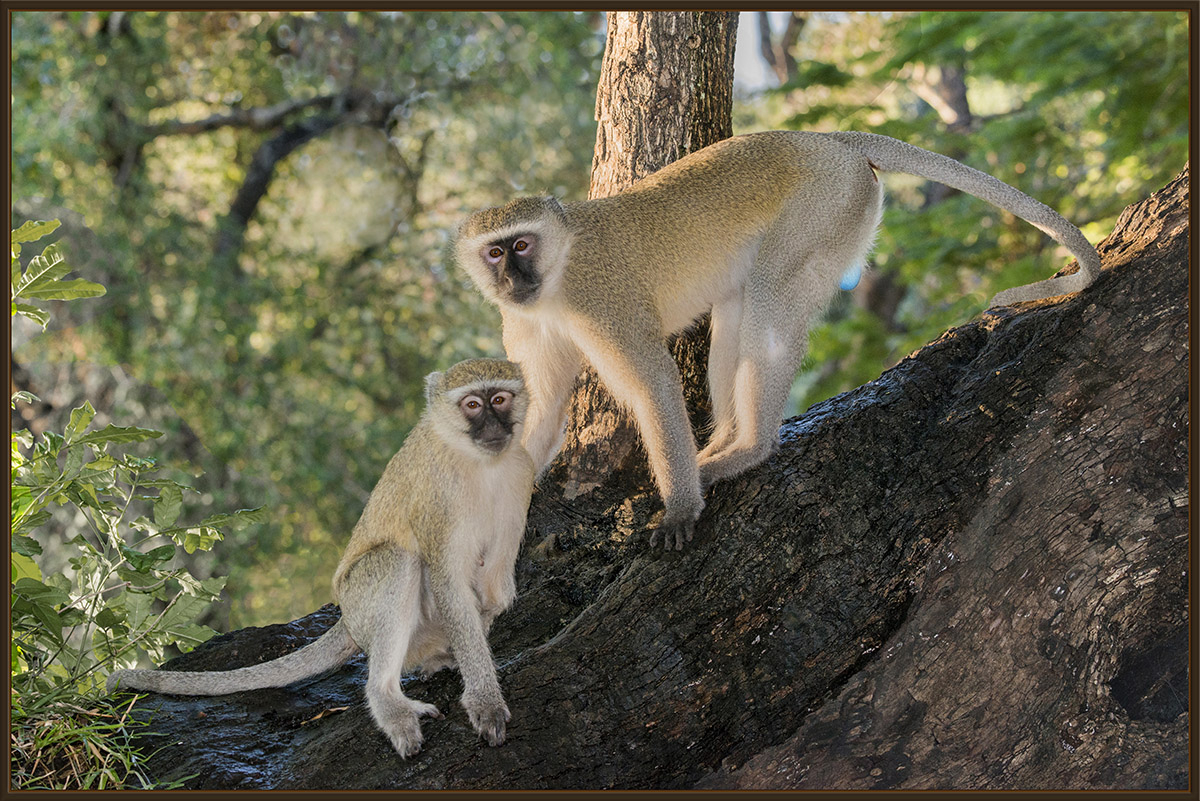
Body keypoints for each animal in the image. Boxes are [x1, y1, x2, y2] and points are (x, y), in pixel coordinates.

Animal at [107, 358, 535, 759]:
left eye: (500, 400)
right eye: (473, 405)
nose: (493, 426)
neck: (481, 463)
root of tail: (346, 620)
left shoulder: (521, 475)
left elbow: (497, 590)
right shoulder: (440, 499)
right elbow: (450, 585)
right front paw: (485, 700)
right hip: (361, 604)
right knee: (397, 560)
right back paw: (387, 699)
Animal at [454, 130, 1102, 551]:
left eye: (522, 244)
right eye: (495, 252)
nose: (512, 278)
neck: (556, 276)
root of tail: (827, 141)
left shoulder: (601, 301)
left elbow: (654, 380)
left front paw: (680, 507)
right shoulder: (525, 323)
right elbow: (538, 412)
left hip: (826, 209)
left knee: (766, 301)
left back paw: (749, 449)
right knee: (736, 310)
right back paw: (723, 443)